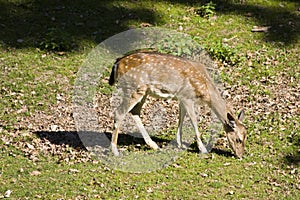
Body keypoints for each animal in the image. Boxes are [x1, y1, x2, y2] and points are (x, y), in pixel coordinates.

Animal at [108, 51, 246, 158]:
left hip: (142, 91)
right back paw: (115, 151)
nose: (240, 155)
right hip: (133, 88)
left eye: (246, 137)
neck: (205, 90)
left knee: (135, 112)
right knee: (119, 112)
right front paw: (202, 149)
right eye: (238, 139)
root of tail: (116, 64)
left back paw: (154, 145)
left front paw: (179, 143)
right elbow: (193, 121)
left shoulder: (182, 98)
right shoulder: (188, 97)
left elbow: (181, 118)